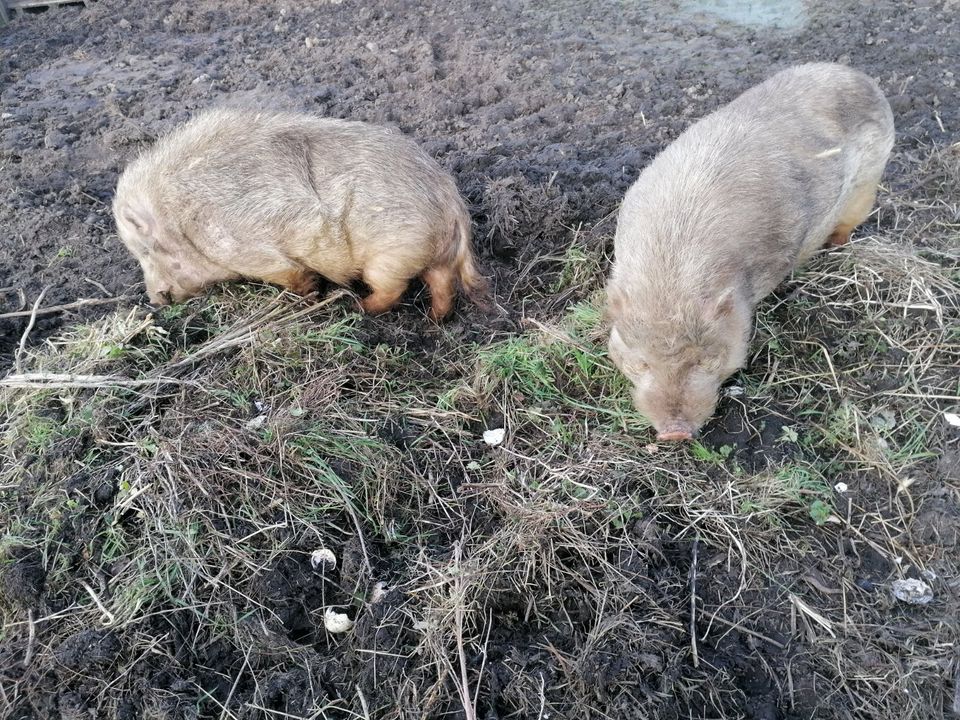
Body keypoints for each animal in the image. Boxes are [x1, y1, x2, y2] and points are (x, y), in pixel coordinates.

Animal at [113, 107, 488, 320]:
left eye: (150, 251)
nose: (155, 300)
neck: (180, 222)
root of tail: (451, 201)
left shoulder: (239, 245)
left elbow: (288, 272)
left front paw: (308, 295)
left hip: (392, 252)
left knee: (394, 289)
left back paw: (358, 308)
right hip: (429, 252)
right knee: (442, 284)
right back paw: (434, 321)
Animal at [608, 64, 892, 442]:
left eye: (704, 359)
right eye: (641, 363)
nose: (674, 433)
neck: (672, 274)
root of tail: (854, 74)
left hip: (869, 180)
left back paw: (835, 245)